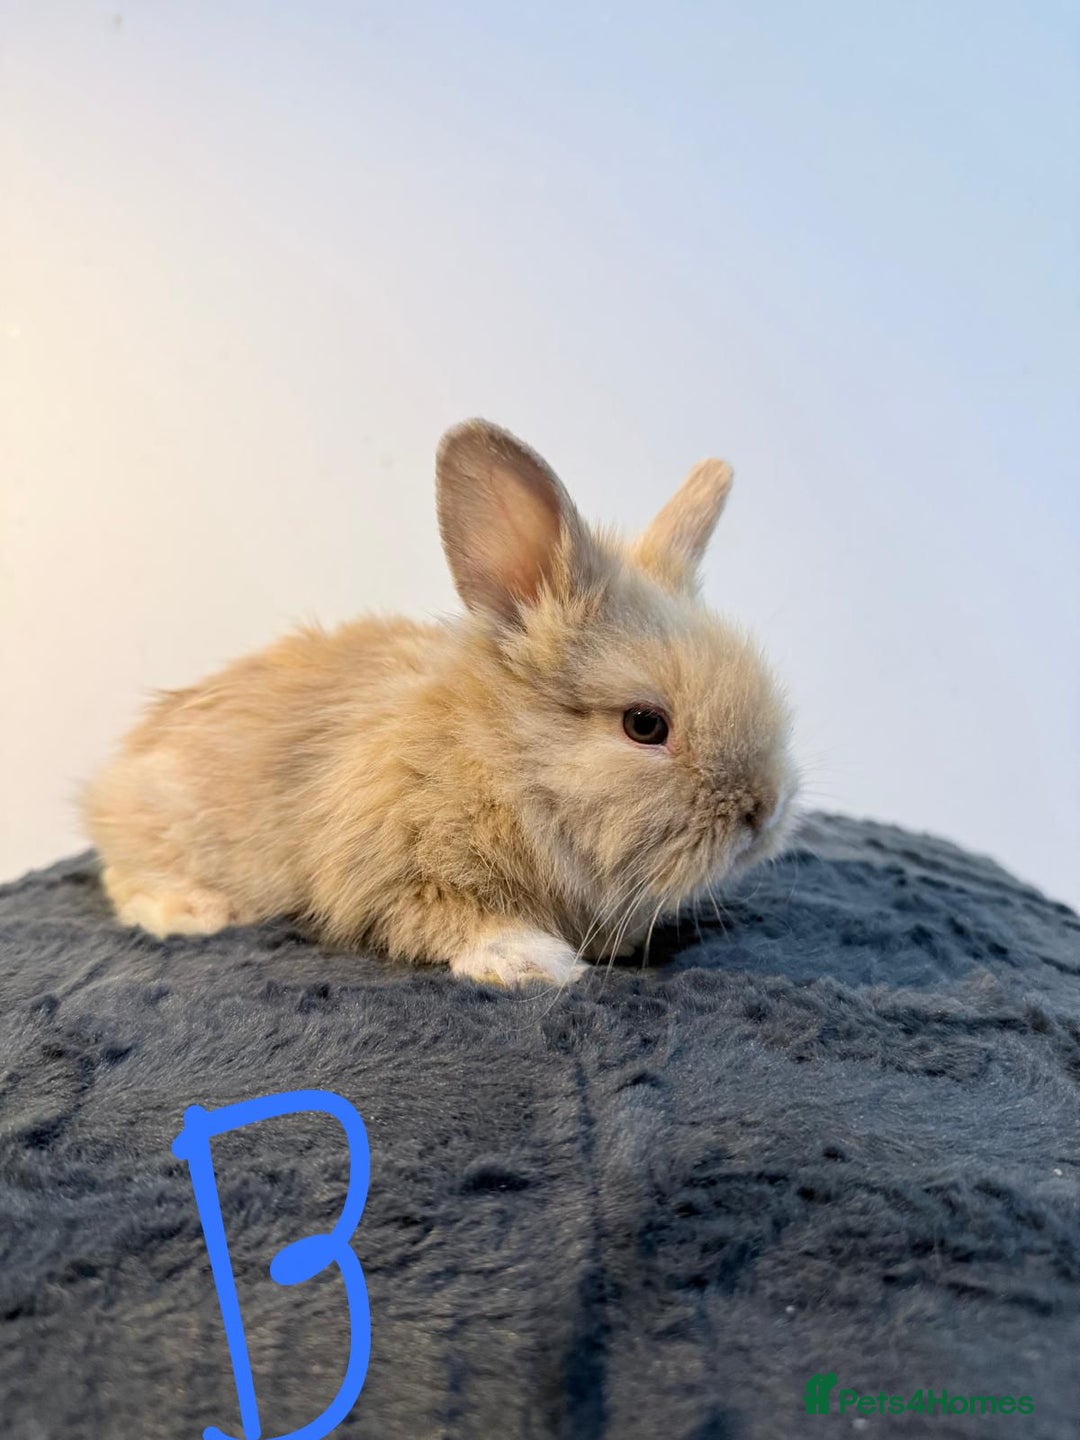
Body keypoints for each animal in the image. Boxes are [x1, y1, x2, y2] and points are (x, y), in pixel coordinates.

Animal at [84, 419, 797, 986]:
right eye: (645, 725)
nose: (761, 814)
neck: (498, 763)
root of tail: (111, 780)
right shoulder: (392, 871)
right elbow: (448, 917)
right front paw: (532, 963)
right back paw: (192, 913)